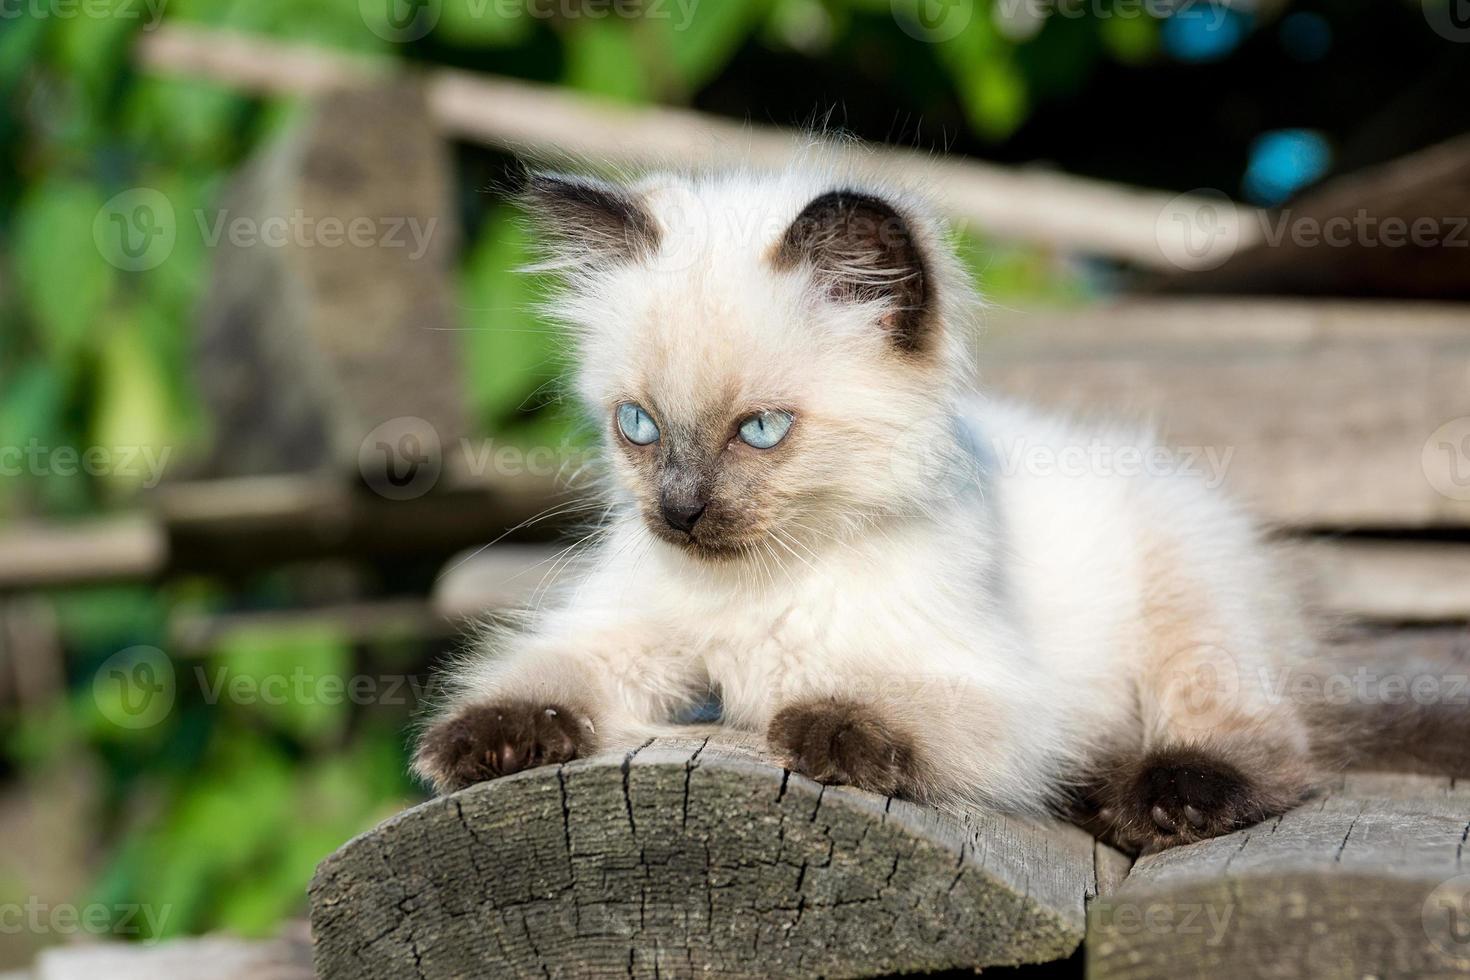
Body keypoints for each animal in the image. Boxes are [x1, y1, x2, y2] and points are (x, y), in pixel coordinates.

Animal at [414, 163, 1458, 852]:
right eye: (637, 425)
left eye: (760, 431)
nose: (678, 513)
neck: (762, 586)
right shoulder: (622, 638)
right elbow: (539, 675)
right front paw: (482, 744)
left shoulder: (1005, 693)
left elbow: (887, 707)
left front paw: (825, 730)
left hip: (1186, 595)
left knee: (1275, 749)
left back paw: (1152, 802)